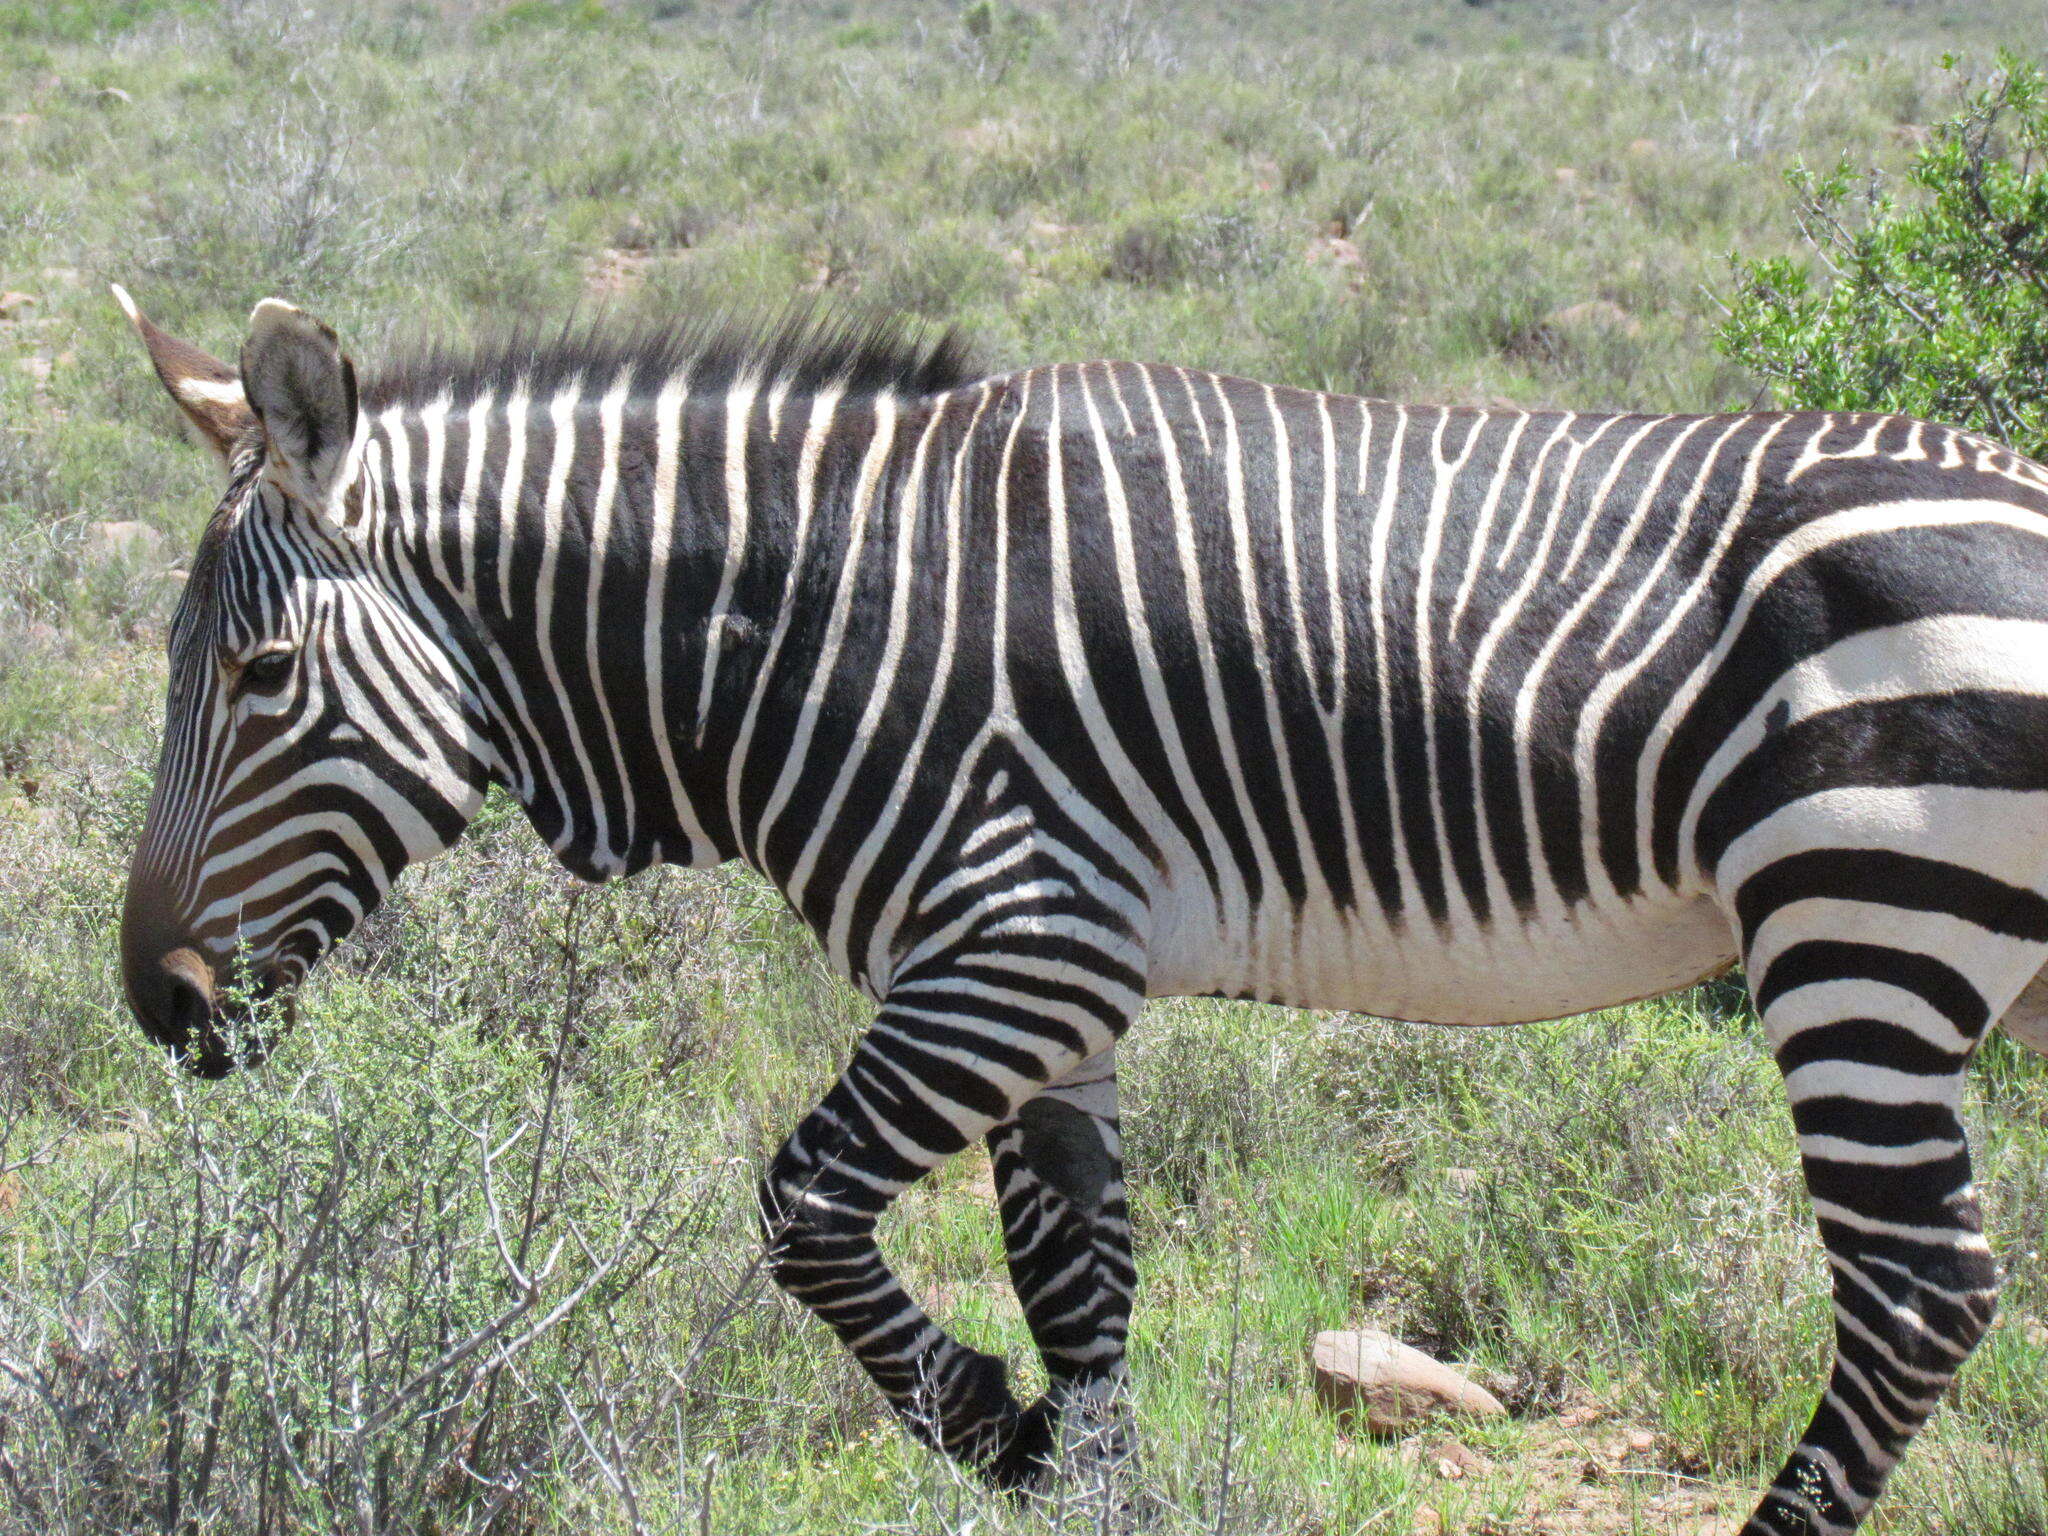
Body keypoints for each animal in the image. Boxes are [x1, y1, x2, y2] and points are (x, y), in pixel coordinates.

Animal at [116, 282, 2048, 1531]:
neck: (815, 619)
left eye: (262, 674)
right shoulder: (1055, 1001)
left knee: (1914, 1295)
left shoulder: (1012, 952)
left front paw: (993, 1429)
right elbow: (1082, 1293)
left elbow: (801, 1212)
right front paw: (1072, 1464)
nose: (158, 1006)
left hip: (1857, 934)